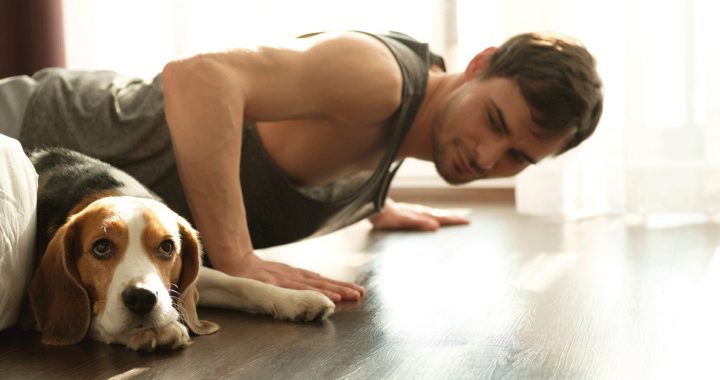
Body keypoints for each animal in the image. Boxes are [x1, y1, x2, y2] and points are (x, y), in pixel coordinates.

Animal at [25, 148, 334, 350]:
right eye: (101, 247)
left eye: (167, 247)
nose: (141, 298)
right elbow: (95, 321)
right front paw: (151, 332)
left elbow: (241, 283)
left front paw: (296, 298)